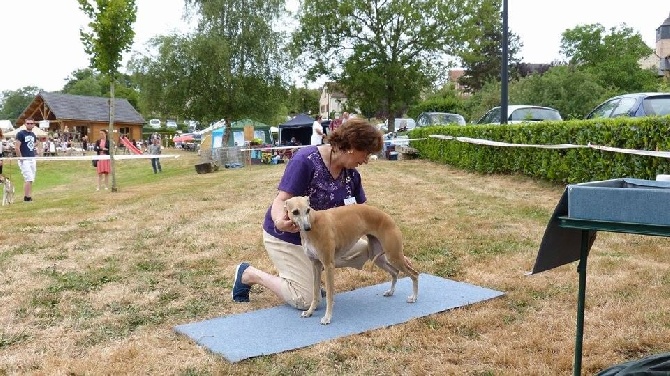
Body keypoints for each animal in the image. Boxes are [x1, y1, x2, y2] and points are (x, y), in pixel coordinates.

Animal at [284, 198, 420, 324]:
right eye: (295, 212)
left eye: (308, 210)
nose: (307, 227)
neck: (314, 222)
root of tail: (388, 217)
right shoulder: (315, 265)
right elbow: (315, 292)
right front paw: (309, 312)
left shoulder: (328, 265)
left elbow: (329, 295)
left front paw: (327, 317)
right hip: (378, 257)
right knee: (395, 272)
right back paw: (391, 292)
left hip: (393, 255)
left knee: (414, 274)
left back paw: (413, 297)